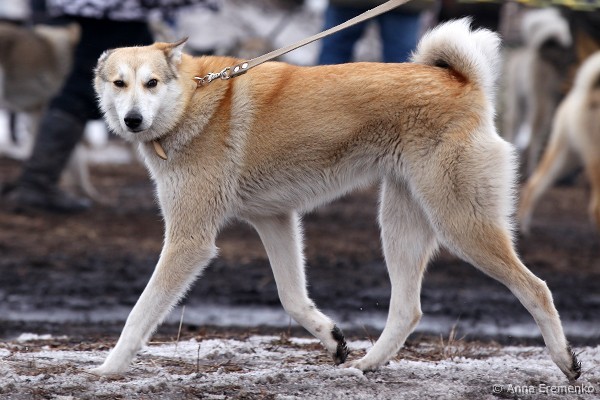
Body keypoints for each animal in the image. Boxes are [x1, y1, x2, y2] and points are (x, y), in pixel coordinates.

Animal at [91, 19, 581, 380]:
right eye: (119, 83)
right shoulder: (274, 220)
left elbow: (140, 313)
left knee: (537, 288)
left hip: (461, 225)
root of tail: (462, 81)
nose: (132, 120)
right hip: (400, 227)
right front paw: (332, 339)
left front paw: (109, 369)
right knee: (408, 310)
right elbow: (292, 298)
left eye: (151, 83)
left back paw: (565, 360)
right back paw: (368, 364)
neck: (194, 100)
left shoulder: (189, 240)